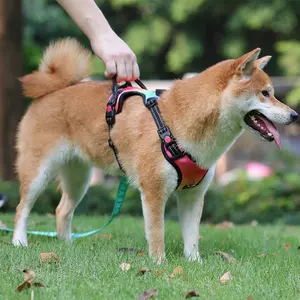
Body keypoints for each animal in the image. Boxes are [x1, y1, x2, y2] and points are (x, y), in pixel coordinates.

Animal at [12, 37, 298, 262]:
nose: (294, 115)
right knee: (21, 208)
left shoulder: (193, 195)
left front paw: (195, 264)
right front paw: (160, 265)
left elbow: (192, 237)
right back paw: (19, 242)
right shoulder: (153, 191)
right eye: (266, 93)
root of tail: (55, 89)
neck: (178, 123)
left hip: (79, 178)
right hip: (39, 172)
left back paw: (68, 245)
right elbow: (157, 233)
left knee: (62, 210)